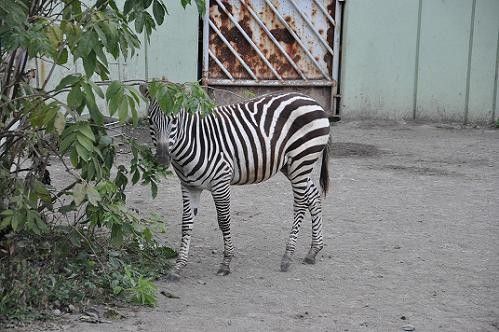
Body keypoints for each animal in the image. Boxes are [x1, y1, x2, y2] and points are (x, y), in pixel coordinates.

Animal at [139, 85, 330, 280]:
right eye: (150, 121)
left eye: (175, 120)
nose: (162, 158)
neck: (193, 142)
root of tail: (312, 100)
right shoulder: (188, 186)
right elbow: (186, 223)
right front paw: (178, 266)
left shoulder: (220, 182)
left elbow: (224, 221)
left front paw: (226, 263)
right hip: (290, 166)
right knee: (313, 196)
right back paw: (313, 251)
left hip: (302, 159)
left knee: (300, 204)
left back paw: (287, 256)